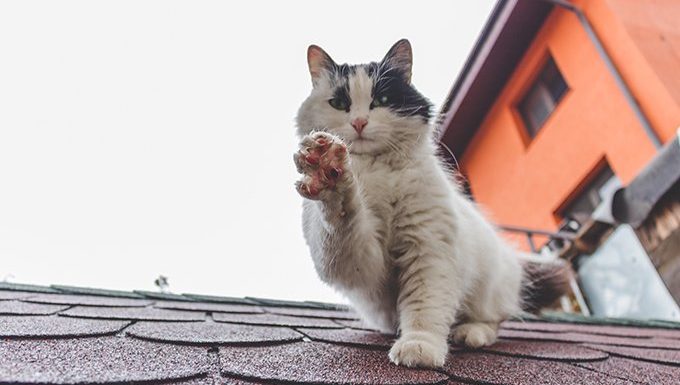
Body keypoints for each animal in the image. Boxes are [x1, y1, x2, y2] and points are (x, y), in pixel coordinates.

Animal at [292, 40, 568, 368]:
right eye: (338, 103)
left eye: (382, 99)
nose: (359, 122)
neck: (376, 171)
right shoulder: (357, 261)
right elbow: (342, 213)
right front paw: (326, 171)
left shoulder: (427, 247)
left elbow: (424, 307)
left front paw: (419, 348)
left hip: (490, 287)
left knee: (493, 320)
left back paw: (470, 333)